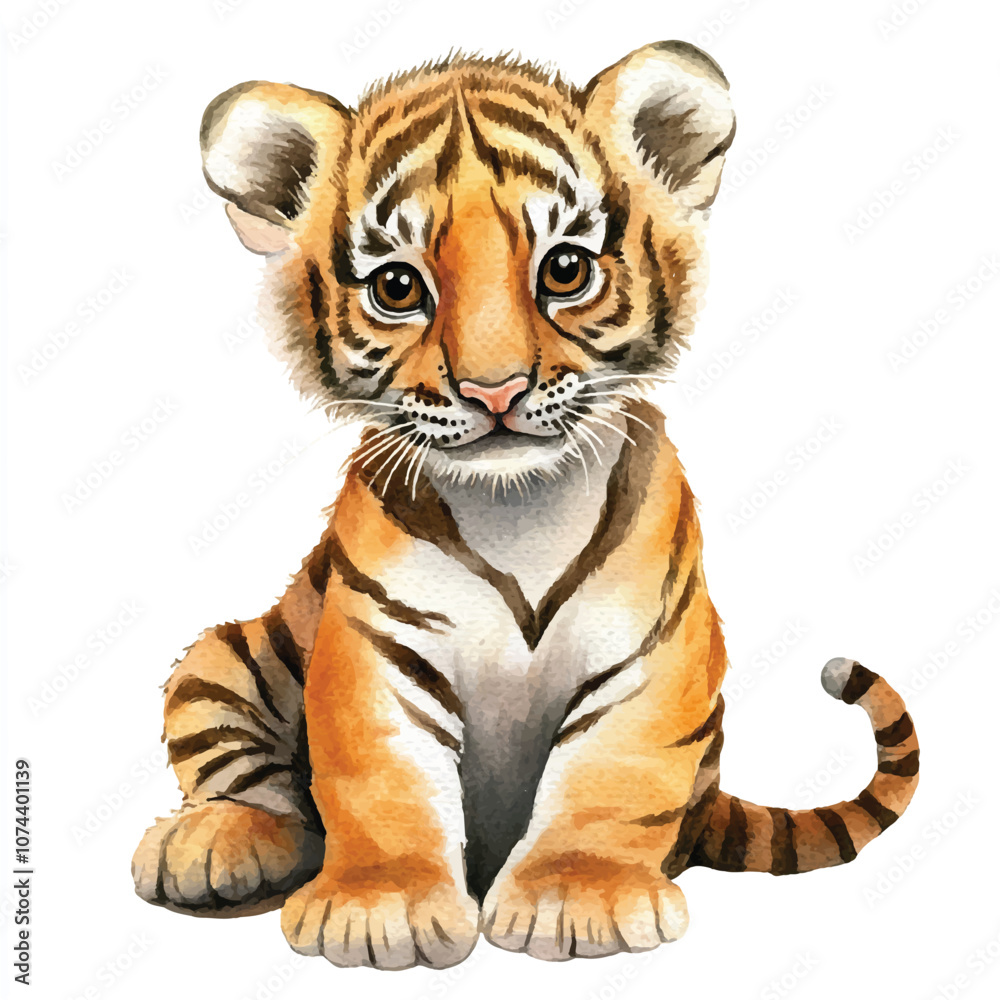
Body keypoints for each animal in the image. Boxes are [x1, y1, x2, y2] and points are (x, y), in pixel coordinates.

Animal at [132, 41, 919, 970]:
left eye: (565, 270)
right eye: (397, 287)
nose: (495, 390)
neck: (518, 511)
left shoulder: (653, 652)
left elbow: (615, 772)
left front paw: (577, 898)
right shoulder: (377, 647)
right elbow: (380, 778)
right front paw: (381, 908)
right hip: (221, 659)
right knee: (256, 788)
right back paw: (211, 843)